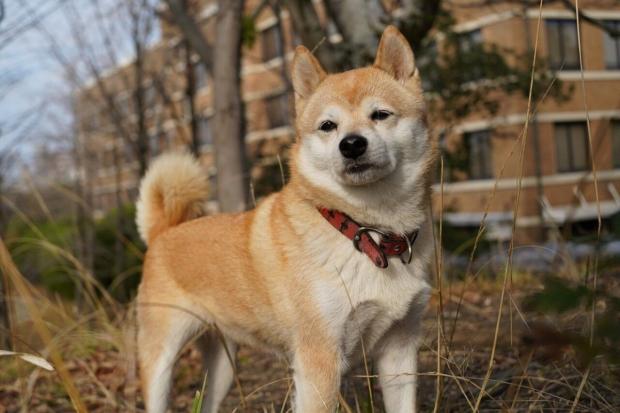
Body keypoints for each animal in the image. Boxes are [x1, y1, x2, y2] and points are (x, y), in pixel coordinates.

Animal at [136, 25, 436, 412]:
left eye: (381, 115)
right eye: (328, 125)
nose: (351, 144)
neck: (367, 232)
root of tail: (163, 232)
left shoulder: (400, 349)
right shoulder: (318, 359)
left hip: (223, 367)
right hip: (161, 358)